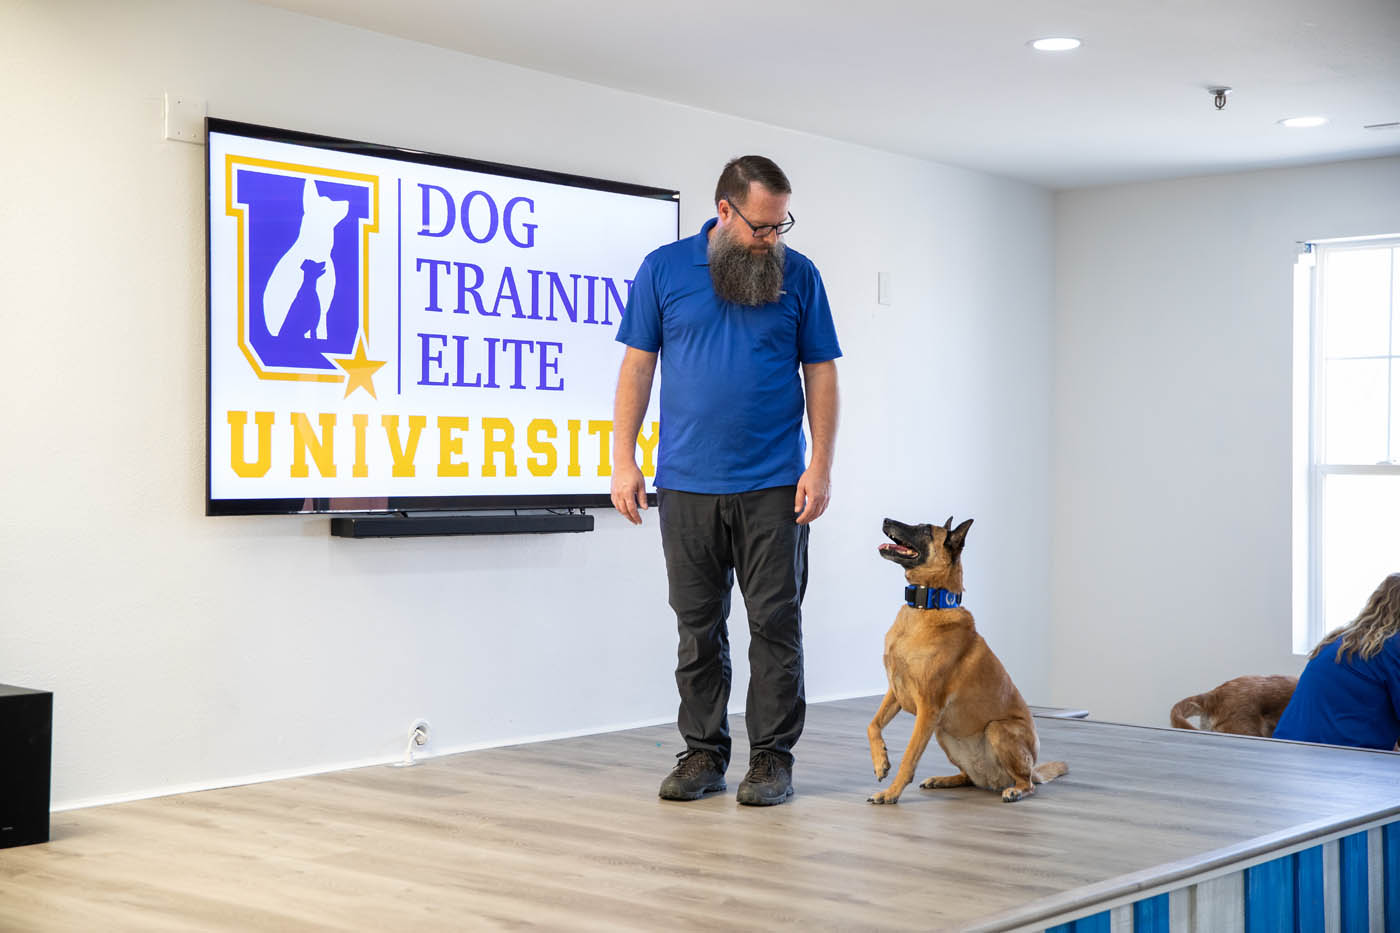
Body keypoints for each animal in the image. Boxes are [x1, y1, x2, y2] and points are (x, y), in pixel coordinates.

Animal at [862, 515, 1069, 801]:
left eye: (925, 529)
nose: (885, 519)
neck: (929, 606)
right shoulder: (895, 691)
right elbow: (872, 725)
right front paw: (880, 761)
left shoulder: (928, 709)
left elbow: (909, 757)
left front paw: (891, 793)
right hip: (943, 732)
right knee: (969, 777)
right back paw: (943, 779)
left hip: (996, 729)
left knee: (1027, 783)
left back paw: (1015, 790)